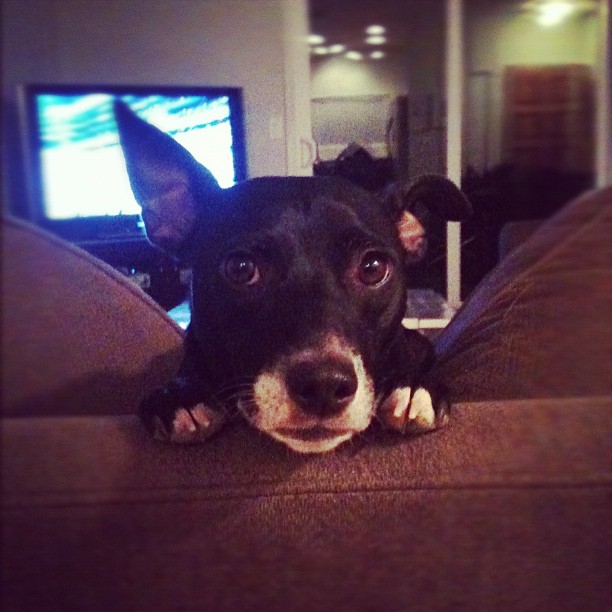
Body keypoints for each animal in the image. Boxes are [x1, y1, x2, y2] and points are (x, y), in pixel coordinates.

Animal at [115, 101, 470, 454]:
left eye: (372, 268)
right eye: (240, 268)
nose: (323, 384)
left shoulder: (416, 344)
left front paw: (414, 387)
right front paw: (182, 394)